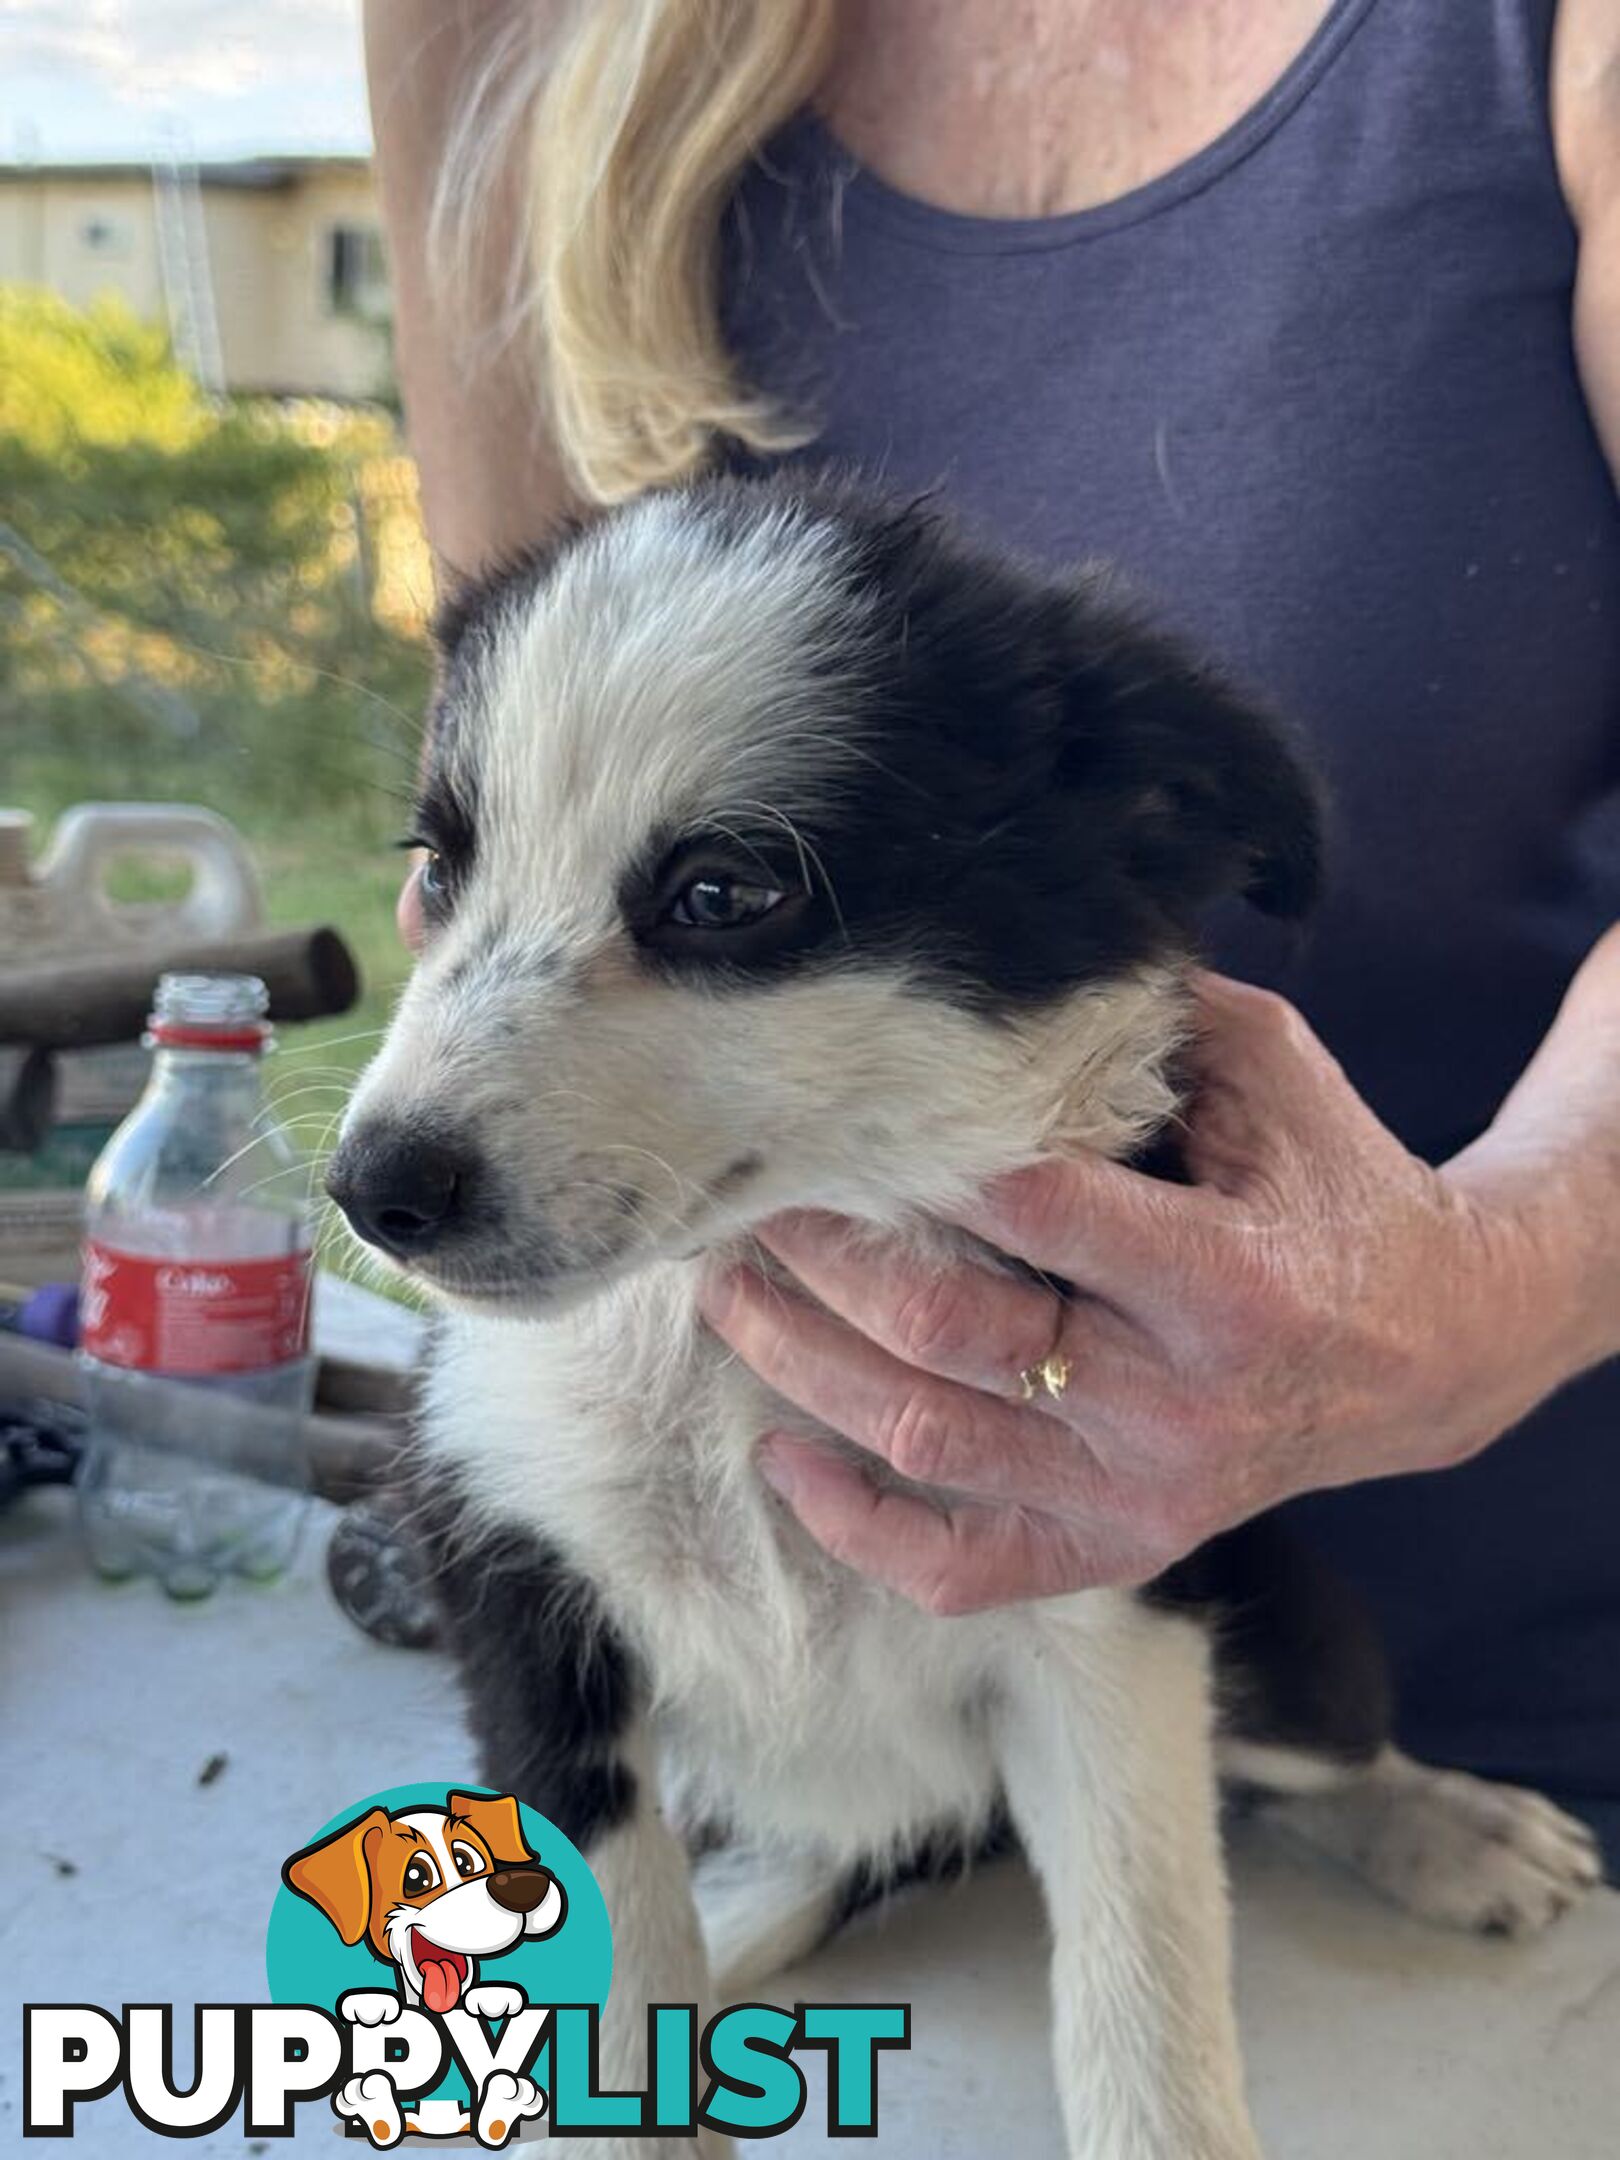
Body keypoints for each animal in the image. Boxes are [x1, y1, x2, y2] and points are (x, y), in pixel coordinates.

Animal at [326, 486, 1598, 2160]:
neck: (726, 1346)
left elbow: (1145, 1992)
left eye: (722, 895)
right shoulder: (521, 1607)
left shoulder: (1109, 1613)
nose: (370, 1189)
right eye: (438, 870)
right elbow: (617, 1967)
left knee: (1315, 1751)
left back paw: (1449, 1823)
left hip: (1269, 1598)